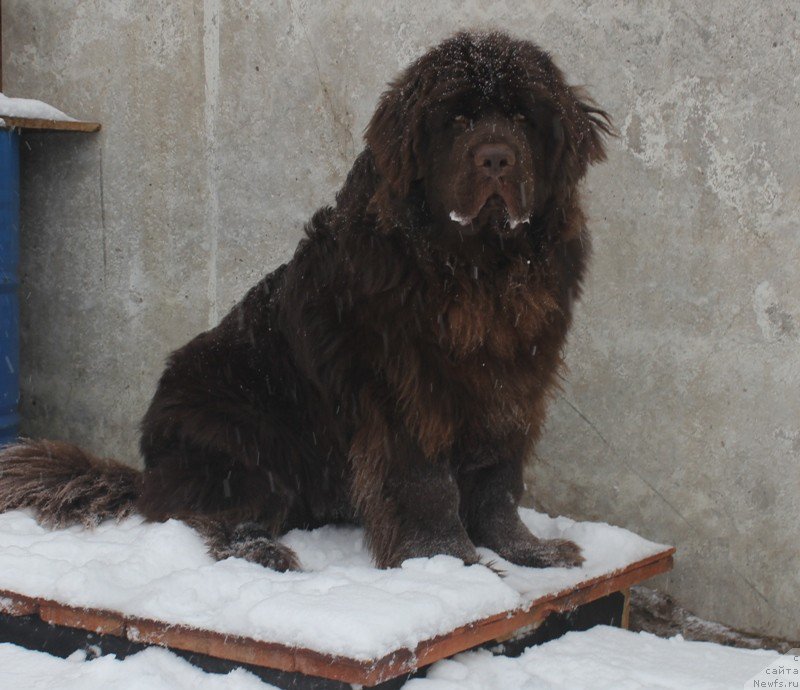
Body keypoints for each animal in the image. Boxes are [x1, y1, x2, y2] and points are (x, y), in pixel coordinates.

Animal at [0, 30, 608, 568]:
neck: (477, 268)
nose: (496, 158)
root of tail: (149, 468)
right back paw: (264, 551)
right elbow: (425, 481)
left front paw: (527, 551)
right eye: (457, 119)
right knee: (202, 514)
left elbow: (499, 480)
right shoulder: (405, 386)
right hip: (243, 437)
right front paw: (447, 563)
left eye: (524, 119)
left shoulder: (513, 381)